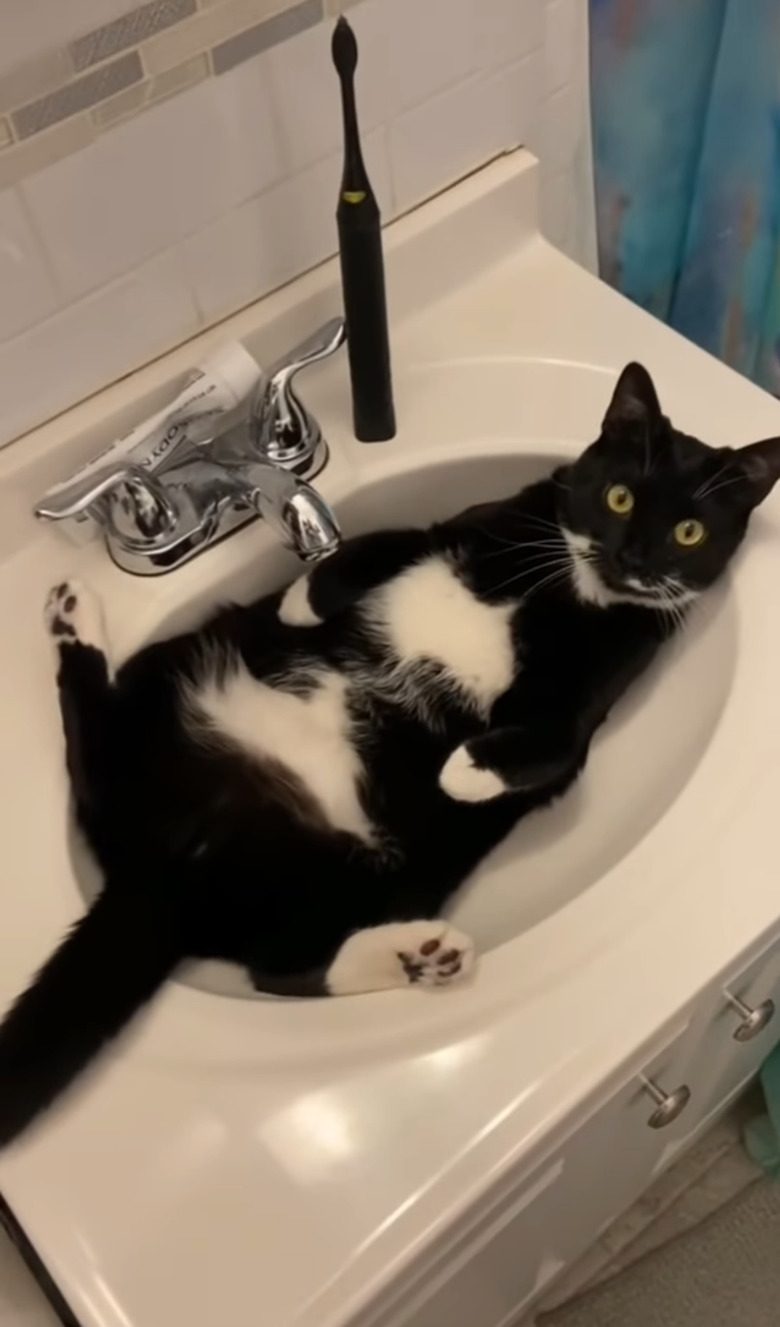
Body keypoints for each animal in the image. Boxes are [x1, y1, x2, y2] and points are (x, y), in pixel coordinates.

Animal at [3, 360, 774, 1141]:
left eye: (689, 533)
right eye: (619, 495)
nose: (632, 558)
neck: (569, 587)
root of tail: (163, 869)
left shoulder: (606, 679)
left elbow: (555, 743)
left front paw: (467, 770)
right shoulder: (476, 520)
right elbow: (382, 540)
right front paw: (303, 599)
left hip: (374, 872)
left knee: (286, 966)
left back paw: (420, 955)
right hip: (166, 677)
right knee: (93, 751)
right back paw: (72, 616)